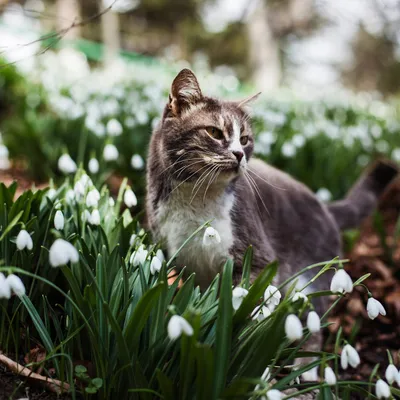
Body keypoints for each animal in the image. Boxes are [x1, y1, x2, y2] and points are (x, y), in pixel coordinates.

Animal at [145, 68, 398, 294]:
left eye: (244, 139)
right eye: (214, 132)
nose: (239, 154)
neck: (194, 198)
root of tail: (325, 207)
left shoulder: (257, 259)